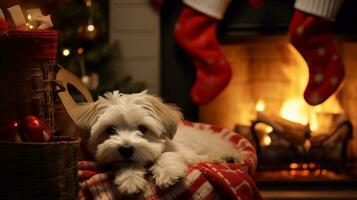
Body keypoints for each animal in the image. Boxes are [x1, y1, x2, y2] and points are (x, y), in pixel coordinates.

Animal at [79, 90, 242, 195]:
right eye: (110, 130)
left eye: (142, 129)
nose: (126, 149)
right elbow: (126, 165)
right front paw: (130, 179)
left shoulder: (181, 151)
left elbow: (166, 155)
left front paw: (169, 173)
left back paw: (228, 156)